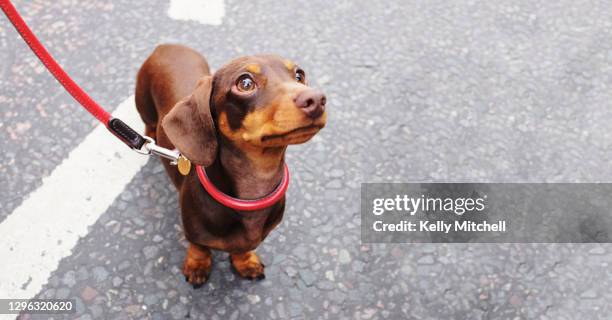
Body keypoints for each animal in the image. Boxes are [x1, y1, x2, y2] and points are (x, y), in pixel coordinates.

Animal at [134, 43, 326, 286]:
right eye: (245, 83)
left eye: (300, 75)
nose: (317, 99)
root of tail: (166, 45)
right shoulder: (194, 231)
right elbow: (199, 247)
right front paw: (197, 265)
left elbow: (242, 248)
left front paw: (245, 262)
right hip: (143, 103)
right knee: (148, 123)